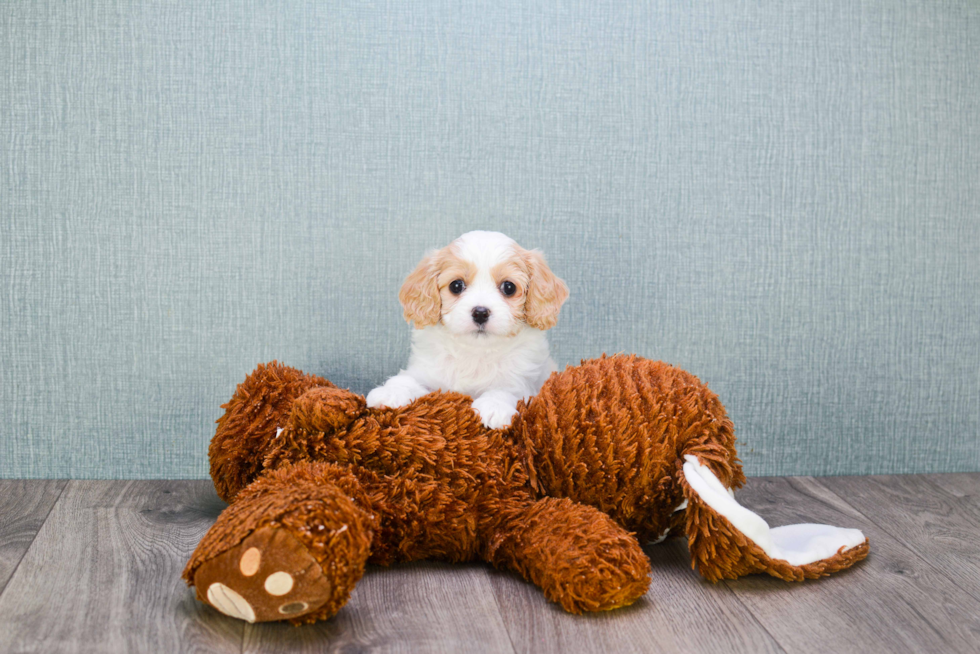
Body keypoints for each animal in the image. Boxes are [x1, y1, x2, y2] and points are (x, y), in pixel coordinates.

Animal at [366, 231, 568, 430]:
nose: (480, 312)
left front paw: (494, 407)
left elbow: (505, 389)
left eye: (509, 287)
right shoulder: (427, 372)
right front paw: (390, 392)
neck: (475, 351)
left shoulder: (523, 383)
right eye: (456, 285)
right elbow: (406, 379)